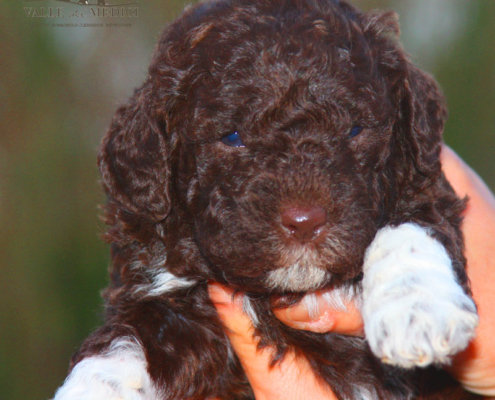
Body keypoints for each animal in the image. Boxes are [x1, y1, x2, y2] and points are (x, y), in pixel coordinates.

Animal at [53, 0, 480, 400]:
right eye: (232, 136)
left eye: (355, 129)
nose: (305, 222)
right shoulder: (162, 293)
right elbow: (125, 342)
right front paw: (88, 388)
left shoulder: (425, 187)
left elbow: (407, 229)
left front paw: (417, 312)